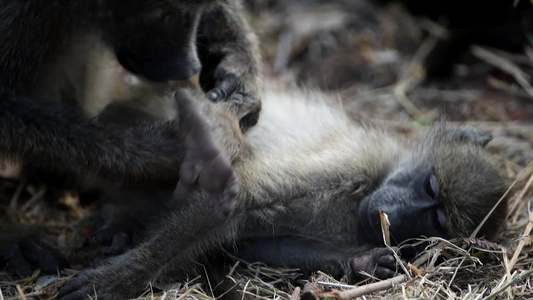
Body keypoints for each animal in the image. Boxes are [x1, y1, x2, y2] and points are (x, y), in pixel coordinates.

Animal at [58, 89, 508, 300]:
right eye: (431, 188)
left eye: (437, 223)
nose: (396, 217)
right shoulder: (350, 167)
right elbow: (239, 197)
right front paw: (118, 280)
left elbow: (253, 242)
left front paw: (361, 263)